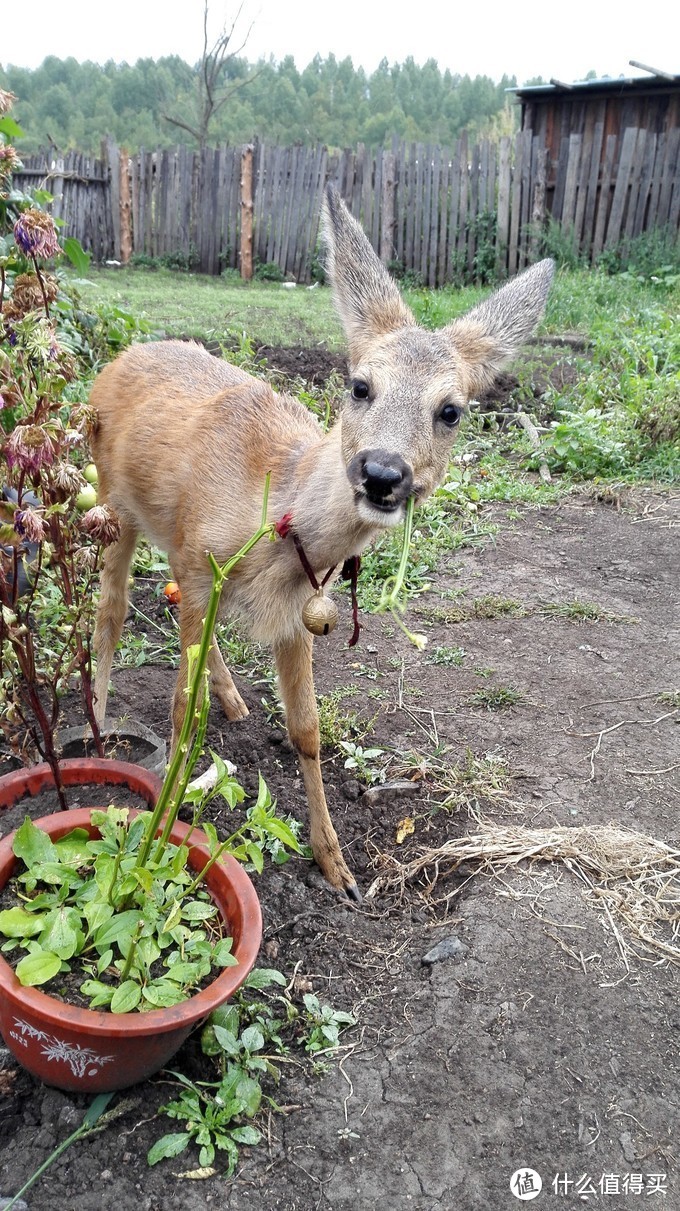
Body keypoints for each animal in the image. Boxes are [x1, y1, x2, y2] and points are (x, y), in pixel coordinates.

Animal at [88, 186, 551, 900]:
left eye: (452, 410)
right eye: (360, 385)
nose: (383, 472)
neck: (274, 518)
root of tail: (122, 357)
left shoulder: (293, 609)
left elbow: (306, 730)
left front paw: (336, 864)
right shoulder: (201, 563)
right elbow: (180, 711)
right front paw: (157, 840)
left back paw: (233, 700)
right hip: (115, 504)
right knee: (110, 612)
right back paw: (99, 731)